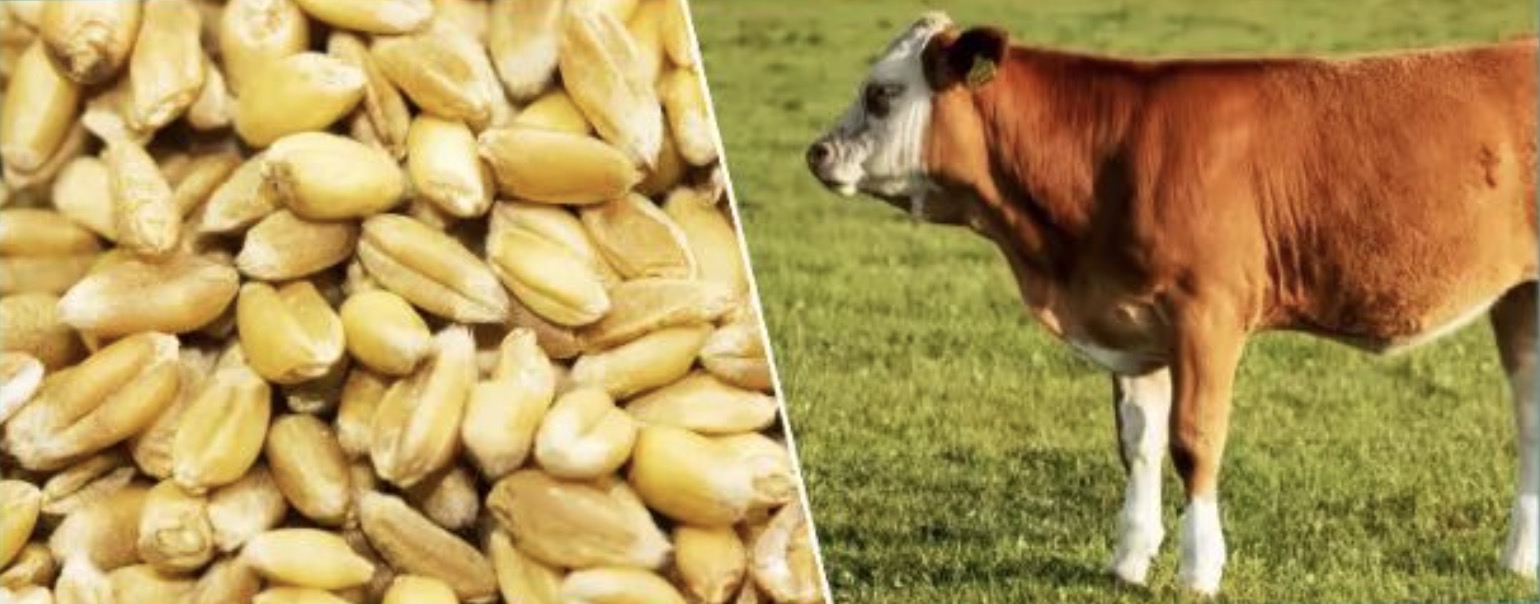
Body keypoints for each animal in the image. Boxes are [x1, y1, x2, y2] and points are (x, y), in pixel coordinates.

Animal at [806, 11, 1540, 597]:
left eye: (882, 93)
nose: (817, 152)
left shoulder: (1206, 317)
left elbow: (1194, 441)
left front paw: (1198, 568)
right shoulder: (1133, 326)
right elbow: (1137, 441)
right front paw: (1128, 559)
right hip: (1520, 301)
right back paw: (1519, 561)